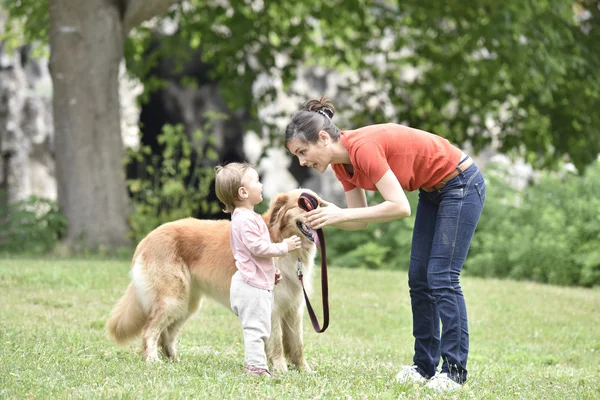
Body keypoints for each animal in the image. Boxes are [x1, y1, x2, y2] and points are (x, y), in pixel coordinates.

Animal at [105, 190, 318, 372]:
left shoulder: (294, 308)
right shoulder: (273, 307)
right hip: (172, 298)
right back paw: (152, 359)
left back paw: (176, 362)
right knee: (150, 330)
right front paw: (281, 369)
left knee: (167, 336)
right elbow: (276, 342)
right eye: (304, 205)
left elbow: (297, 343)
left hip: (187, 304)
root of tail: (147, 238)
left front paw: (304, 369)